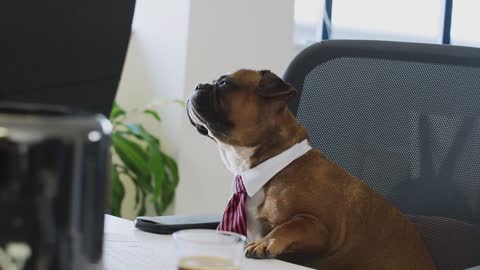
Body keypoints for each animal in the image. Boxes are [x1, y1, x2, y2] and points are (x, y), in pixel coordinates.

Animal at [186, 69, 436, 270]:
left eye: (225, 84)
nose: (198, 85)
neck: (273, 167)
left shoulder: (320, 227)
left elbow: (291, 225)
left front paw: (267, 242)